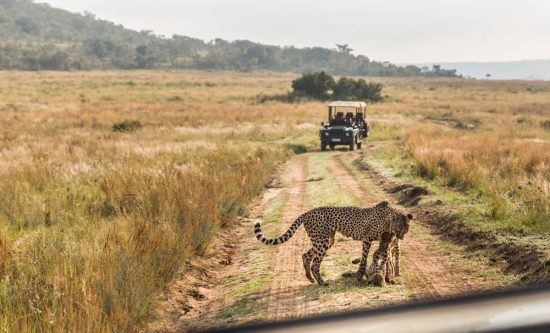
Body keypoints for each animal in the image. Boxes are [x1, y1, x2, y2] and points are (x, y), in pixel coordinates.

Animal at [256, 200, 414, 286]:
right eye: (402, 229)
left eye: (406, 230)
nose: (402, 237)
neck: (388, 219)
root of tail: (307, 212)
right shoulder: (367, 239)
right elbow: (365, 258)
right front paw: (359, 274)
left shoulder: (384, 241)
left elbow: (383, 257)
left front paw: (388, 275)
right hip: (321, 241)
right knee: (315, 263)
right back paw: (322, 282)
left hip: (326, 240)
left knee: (306, 255)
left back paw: (310, 278)